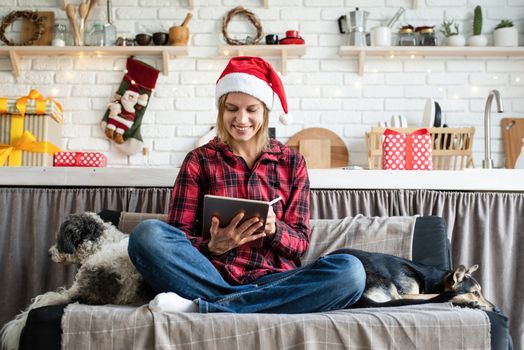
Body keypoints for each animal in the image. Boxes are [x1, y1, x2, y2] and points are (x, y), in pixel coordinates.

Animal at [332, 246, 500, 312]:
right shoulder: (406, 293)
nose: (497, 309)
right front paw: (468, 301)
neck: (436, 280)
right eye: (475, 293)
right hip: (387, 283)